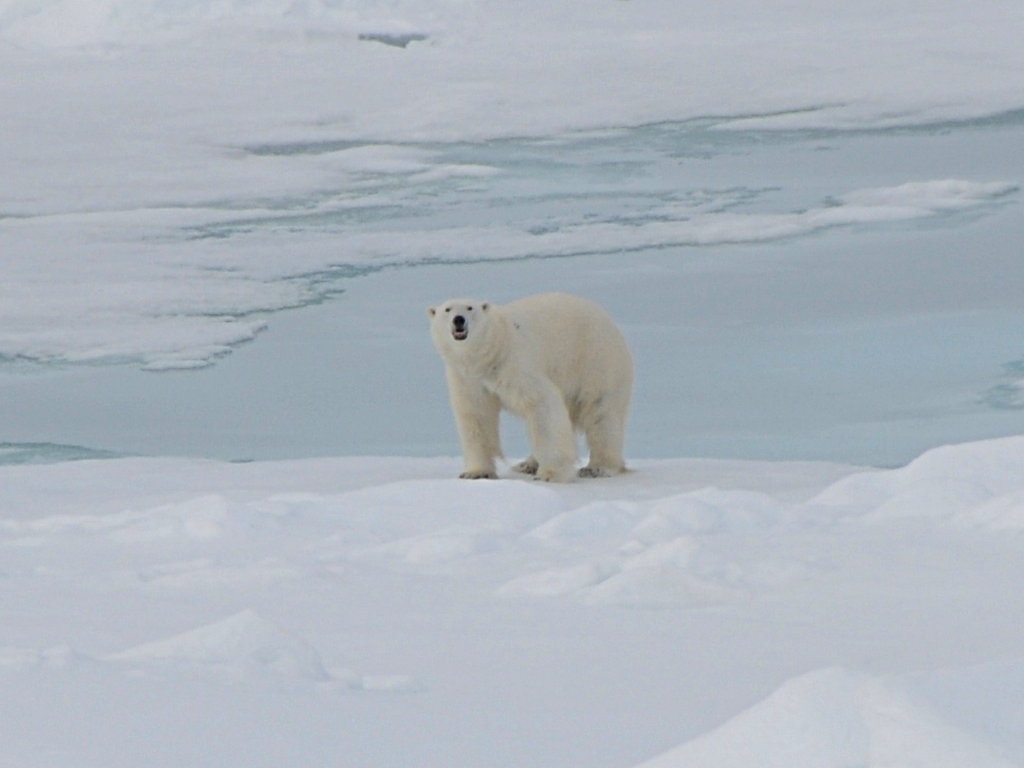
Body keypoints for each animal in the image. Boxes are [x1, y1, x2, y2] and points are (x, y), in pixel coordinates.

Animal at [425, 290, 630, 483]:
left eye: (470, 308)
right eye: (447, 309)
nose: (459, 319)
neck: (491, 352)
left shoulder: (515, 363)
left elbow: (543, 405)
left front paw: (550, 474)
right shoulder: (467, 378)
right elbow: (476, 415)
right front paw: (476, 473)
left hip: (595, 361)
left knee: (601, 413)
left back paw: (598, 467)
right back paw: (527, 464)